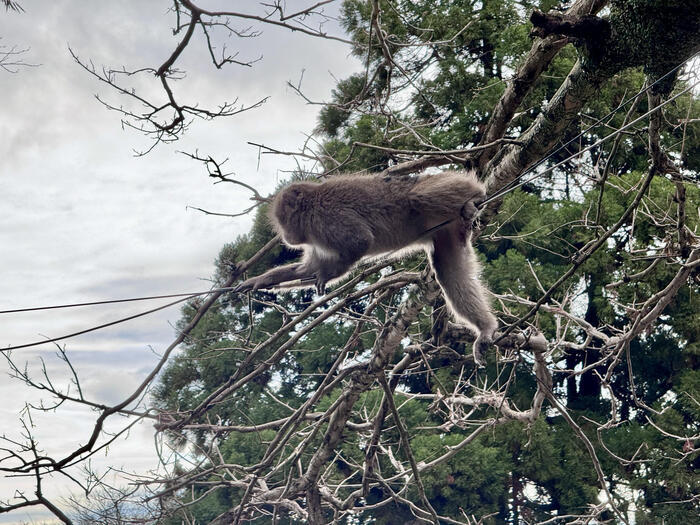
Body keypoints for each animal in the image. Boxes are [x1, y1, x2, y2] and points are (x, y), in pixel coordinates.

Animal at [234, 172, 498, 364]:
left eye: (283, 220)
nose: (286, 237)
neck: (310, 208)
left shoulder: (326, 218)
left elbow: (359, 241)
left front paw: (327, 275)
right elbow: (307, 269)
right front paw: (261, 281)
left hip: (448, 182)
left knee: (417, 195)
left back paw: (473, 197)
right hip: (449, 231)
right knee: (449, 272)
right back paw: (485, 328)